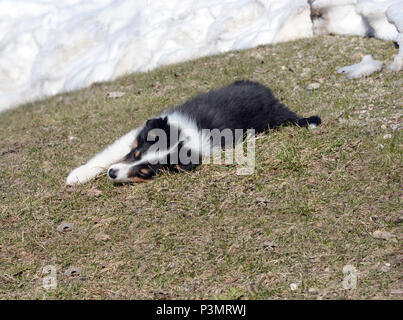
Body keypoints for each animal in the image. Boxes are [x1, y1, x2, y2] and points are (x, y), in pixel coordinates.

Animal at [68, 80, 322, 185]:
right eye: (136, 155)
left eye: (145, 172)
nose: (112, 174)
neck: (185, 138)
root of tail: (270, 95)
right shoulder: (134, 137)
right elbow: (106, 155)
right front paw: (76, 176)